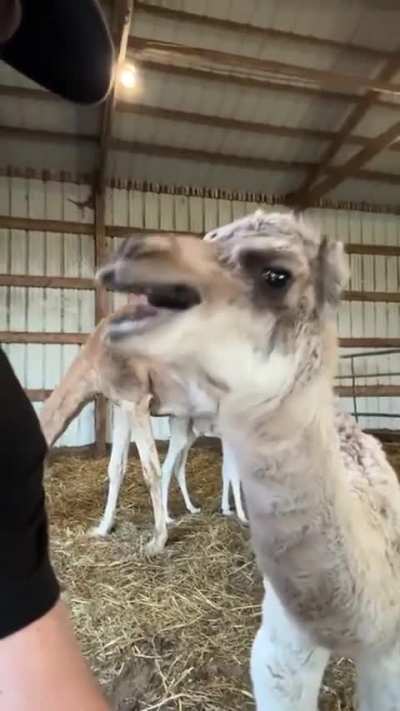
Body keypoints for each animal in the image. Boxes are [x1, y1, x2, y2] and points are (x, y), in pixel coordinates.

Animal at [40, 306, 246, 553]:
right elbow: (115, 467)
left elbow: (151, 470)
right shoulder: (121, 404)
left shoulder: (136, 400)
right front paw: (102, 529)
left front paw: (157, 541)